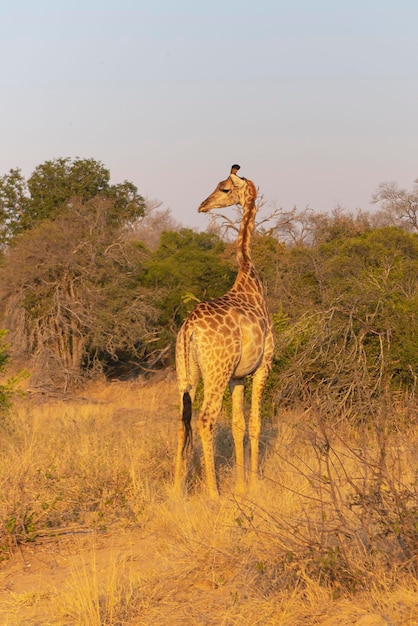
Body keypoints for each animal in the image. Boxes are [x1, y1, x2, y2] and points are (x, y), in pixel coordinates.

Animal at [173, 163, 274, 494]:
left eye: (224, 188)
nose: (203, 206)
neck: (249, 280)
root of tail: (190, 328)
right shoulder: (263, 366)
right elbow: (254, 423)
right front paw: (254, 482)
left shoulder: (237, 377)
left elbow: (237, 425)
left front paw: (242, 483)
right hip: (215, 372)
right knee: (205, 419)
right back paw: (213, 492)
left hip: (186, 373)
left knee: (183, 420)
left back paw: (176, 488)